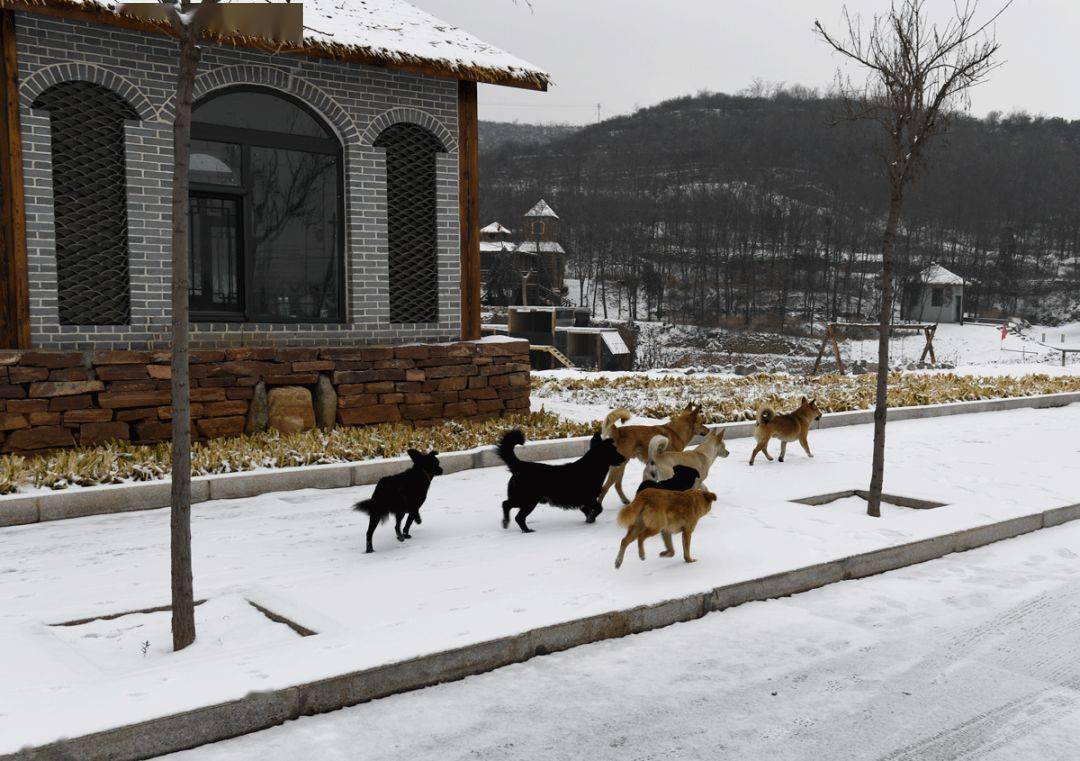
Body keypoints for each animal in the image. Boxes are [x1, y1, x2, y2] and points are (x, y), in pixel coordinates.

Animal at [496, 429, 626, 531]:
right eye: (614, 450)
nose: (624, 458)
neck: (591, 467)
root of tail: (520, 465)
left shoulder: (583, 502)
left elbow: (587, 510)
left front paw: (590, 518)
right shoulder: (589, 498)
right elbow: (599, 508)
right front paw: (591, 518)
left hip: (522, 499)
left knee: (506, 505)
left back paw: (506, 522)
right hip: (527, 500)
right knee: (515, 514)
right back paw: (525, 530)